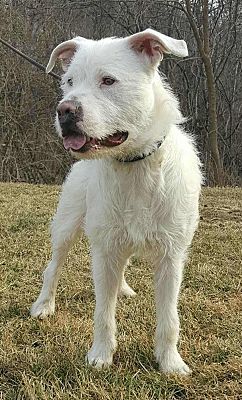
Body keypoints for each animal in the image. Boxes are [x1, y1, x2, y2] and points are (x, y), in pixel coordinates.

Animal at [31, 28, 202, 376]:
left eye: (108, 81)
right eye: (69, 81)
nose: (64, 110)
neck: (134, 165)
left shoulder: (171, 258)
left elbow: (169, 318)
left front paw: (170, 362)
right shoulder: (105, 249)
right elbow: (103, 314)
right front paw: (100, 355)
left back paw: (122, 288)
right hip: (67, 225)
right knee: (53, 267)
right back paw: (44, 305)